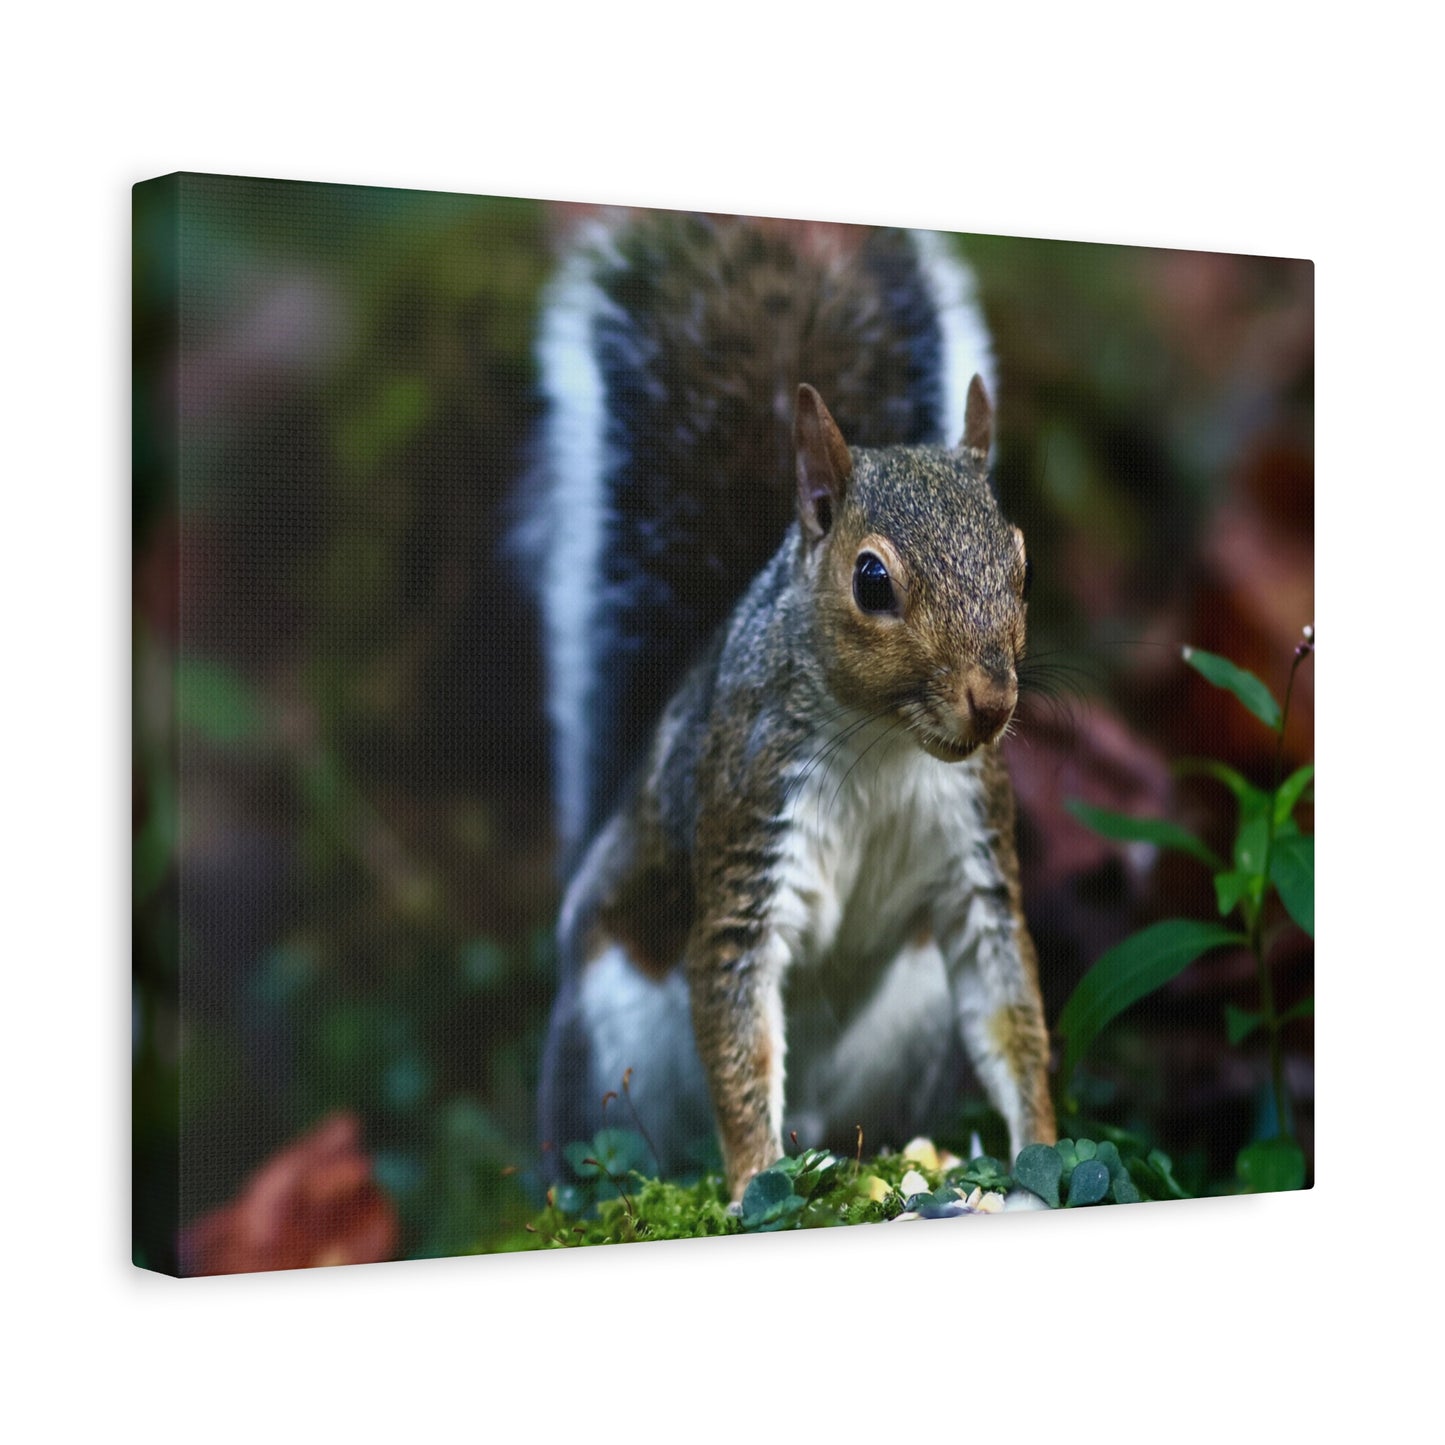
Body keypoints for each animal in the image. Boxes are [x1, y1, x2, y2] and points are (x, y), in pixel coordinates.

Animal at [524, 212, 1057, 1202]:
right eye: (871, 580)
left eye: (1022, 561)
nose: (991, 700)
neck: (885, 743)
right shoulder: (748, 820)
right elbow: (737, 1027)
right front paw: (750, 1182)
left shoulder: (973, 850)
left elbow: (1011, 1014)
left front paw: (1040, 1148)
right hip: (608, 1033)